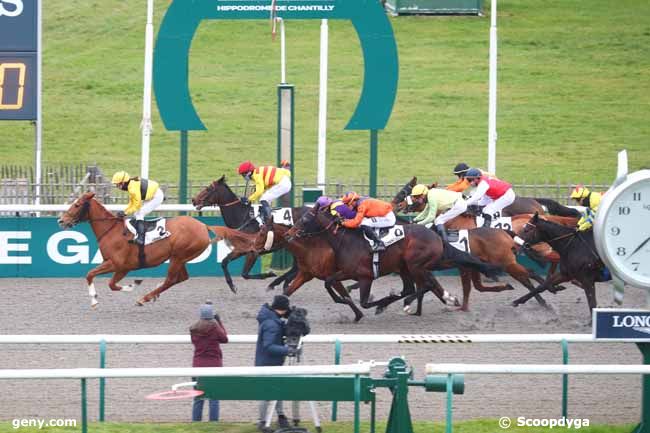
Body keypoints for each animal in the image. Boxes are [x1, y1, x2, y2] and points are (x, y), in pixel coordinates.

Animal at [58, 192, 216, 308]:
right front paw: (95, 299)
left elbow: (101, 280)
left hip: (178, 257)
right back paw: (153, 293)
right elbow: (97, 278)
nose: (61, 220)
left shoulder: (119, 265)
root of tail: (203, 226)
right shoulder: (117, 266)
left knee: (171, 279)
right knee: (181, 278)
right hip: (179, 258)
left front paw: (128, 287)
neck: (112, 231)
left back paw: (144, 298)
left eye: (77, 205)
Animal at [284, 206, 496, 314]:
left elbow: (364, 302)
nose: (289, 234)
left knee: (424, 285)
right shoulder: (346, 272)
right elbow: (328, 282)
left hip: (415, 265)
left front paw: (375, 303)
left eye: (304, 219)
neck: (346, 240)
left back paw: (405, 303)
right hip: (407, 267)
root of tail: (436, 236)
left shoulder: (365, 276)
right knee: (414, 287)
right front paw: (343, 299)